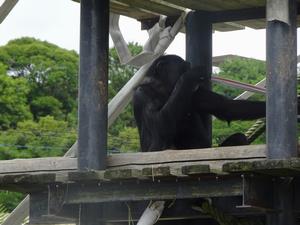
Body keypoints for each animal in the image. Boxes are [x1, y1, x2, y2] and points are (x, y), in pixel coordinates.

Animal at [132, 54, 266, 152]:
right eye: (183, 69)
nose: (188, 67)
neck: (165, 89)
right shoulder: (142, 95)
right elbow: (159, 127)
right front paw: (192, 74)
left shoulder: (197, 93)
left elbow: (227, 107)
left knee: (239, 137)